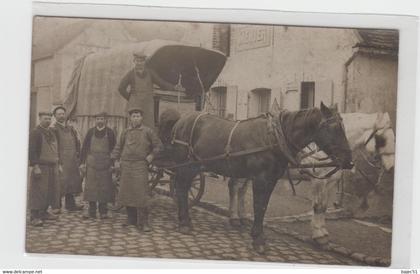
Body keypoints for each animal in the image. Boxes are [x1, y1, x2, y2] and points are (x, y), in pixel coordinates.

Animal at [159, 101, 352, 254]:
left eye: (344, 128)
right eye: (334, 128)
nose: (349, 161)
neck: (274, 137)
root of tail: (181, 120)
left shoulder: (272, 179)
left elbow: (264, 206)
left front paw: (258, 236)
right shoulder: (260, 178)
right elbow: (258, 206)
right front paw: (258, 240)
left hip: (194, 167)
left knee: (183, 189)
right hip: (187, 166)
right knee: (182, 189)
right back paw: (184, 223)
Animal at [228, 112, 396, 243]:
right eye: (382, 140)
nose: (392, 167)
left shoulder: (330, 182)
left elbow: (324, 207)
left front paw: (322, 232)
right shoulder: (318, 181)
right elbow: (318, 206)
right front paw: (318, 234)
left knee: (241, 191)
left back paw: (242, 217)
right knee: (235, 188)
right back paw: (234, 217)